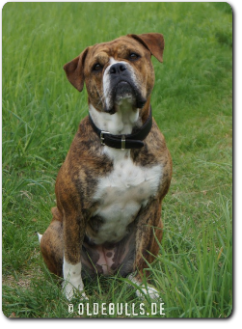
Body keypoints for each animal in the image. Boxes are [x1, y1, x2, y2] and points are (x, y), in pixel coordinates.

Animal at [38, 33, 172, 300]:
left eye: (133, 55)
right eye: (96, 67)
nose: (117, 68)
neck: (122, 139)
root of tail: (107, 270)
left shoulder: (153, 206)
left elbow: (142, 253)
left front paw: (143, 288)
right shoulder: (73, 214)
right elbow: (72, 260)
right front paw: (74, 296)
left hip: (159, 225)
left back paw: (133, 282)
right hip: (53, 230)